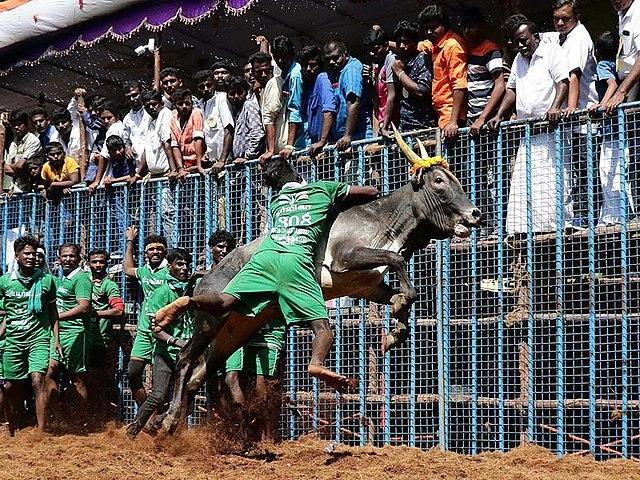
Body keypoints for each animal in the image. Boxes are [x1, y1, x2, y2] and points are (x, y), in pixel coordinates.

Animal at [158, 132, 482, 436]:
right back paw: (169, 415)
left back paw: (177, 426)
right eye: (439, 181)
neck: (384, 219)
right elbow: (397, 262)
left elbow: (401, 294)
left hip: (235, 330)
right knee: (186, 359)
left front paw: (393, 332)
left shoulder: (367, 286)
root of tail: (203, 277)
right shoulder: (347, 257)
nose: (475, 213)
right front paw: (397, 319)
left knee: (201, 374)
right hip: (212, 320)